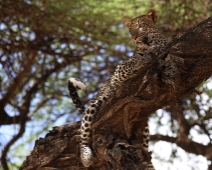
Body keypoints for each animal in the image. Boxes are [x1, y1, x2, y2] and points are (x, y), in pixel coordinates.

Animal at [68, 8, 167, 168]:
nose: (134, 37)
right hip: (95, 104)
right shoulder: (120, 70)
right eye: (130, 29)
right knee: (84, 131)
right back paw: (86, 156)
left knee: (145, 148)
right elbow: (135, 62)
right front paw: (146, 57)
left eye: (140, 26)